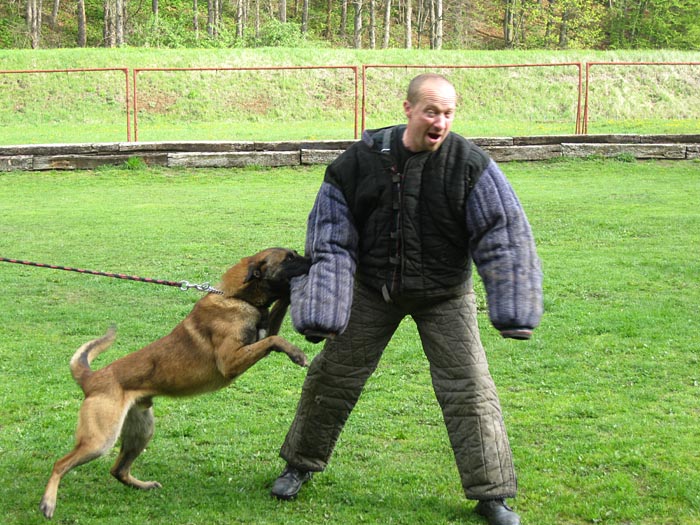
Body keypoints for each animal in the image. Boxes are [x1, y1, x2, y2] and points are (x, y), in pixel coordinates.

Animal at [39, 248, 310, 516]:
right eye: (289, 258)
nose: (312, 258)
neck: (237, 298)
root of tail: (92, 378)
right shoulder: (230, 361)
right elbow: (275, 340)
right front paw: (297, 354)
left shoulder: (259, 337)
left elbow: (273, 329)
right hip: (101, 440)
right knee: (60, 463)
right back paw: (48, 502)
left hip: (142, 431)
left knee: (118, 470)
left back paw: (143, 485)